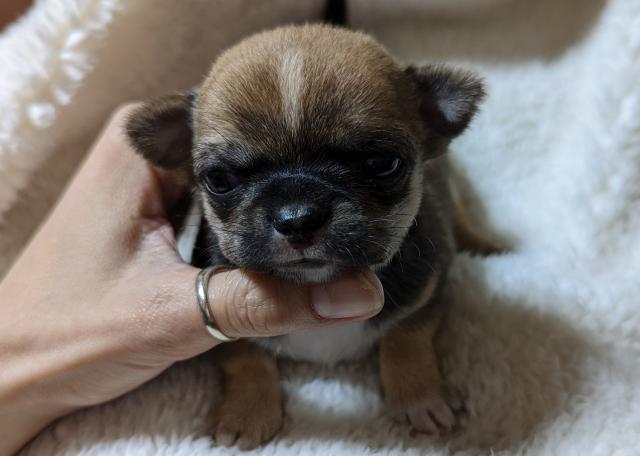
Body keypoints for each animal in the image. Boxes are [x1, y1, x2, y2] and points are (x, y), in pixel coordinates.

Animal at [126, 24, 494, 450]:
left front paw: (420, 397)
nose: (297, 218)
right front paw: (247, 412)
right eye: (219, 180)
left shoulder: (430, 287)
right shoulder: (227, 337)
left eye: (383, 164)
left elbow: (407, 335)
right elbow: (244, 356)